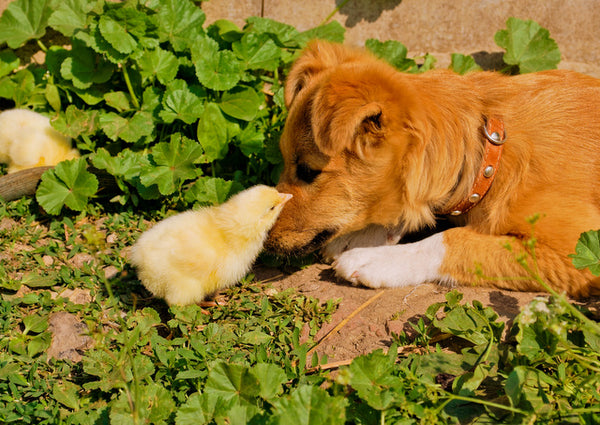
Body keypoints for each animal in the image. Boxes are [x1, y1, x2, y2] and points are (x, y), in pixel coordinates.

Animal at [266, 41, 600, 296]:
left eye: (308, 171)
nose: (264, 239)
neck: (490, 156)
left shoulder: (577, 251)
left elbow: (453, 240)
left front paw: (375, 259)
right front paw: (363, 235)